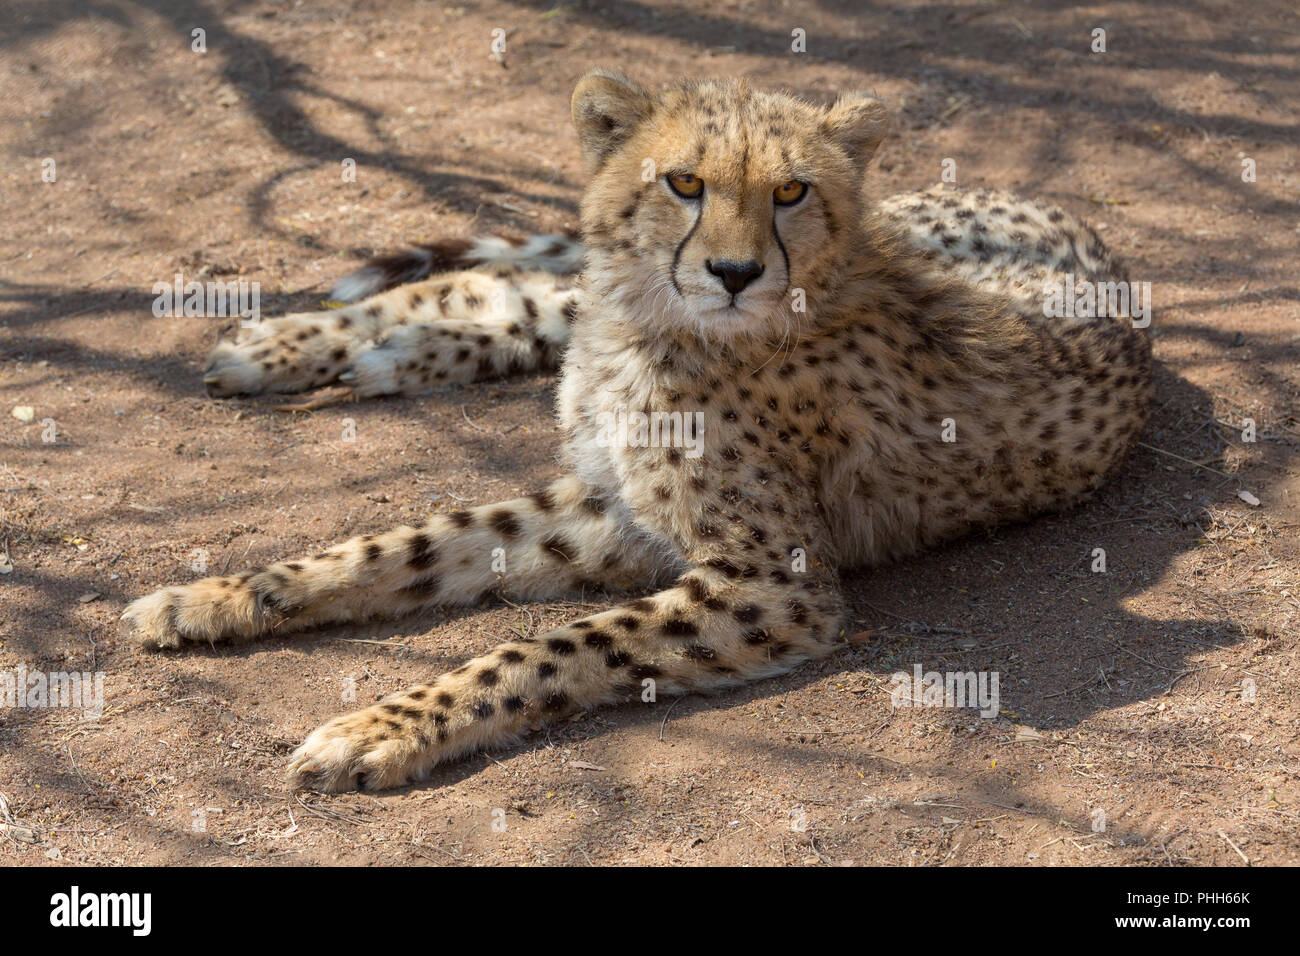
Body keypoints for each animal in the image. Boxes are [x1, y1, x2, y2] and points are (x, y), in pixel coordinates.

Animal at [124, 72, 1159, 790]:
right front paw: (218, 594)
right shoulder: (616, 502)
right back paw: (287, 344)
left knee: (506, 304)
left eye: (791, 192)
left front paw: (379, 728)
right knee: (502, 286)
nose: (736, 272)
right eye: (684, 181)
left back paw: (381, 355)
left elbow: (541, 643)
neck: (657, 332)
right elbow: (404, 543)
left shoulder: (753, 578)